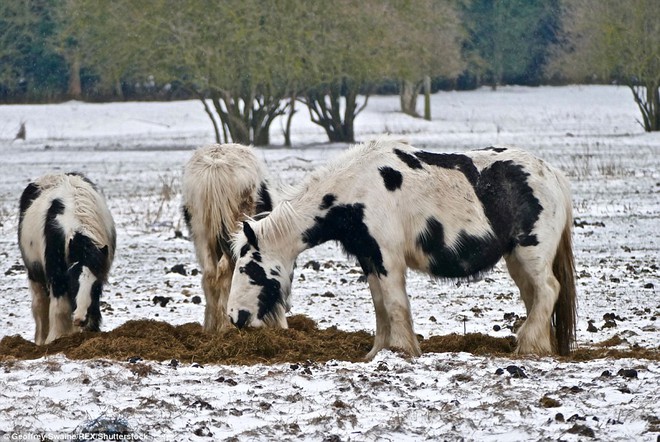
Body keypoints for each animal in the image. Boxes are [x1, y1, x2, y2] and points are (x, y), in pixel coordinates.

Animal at [19, 173, 116, 346]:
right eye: (71, 280)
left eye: (97, 284)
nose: (79, 318)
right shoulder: (57, 278)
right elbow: (59, 309)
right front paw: (55, 339)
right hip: (35, 275)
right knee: (40, 306)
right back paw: (40, 340)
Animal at [180, 143, 282, 334]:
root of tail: (216, 166)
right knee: (226, 271)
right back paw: (226, 326)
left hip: (201, 232)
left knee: (210, 274)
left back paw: (211, 327)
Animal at [224, 140, 576, 360]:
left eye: (248, 267)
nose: (235, 317)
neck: (357, 190)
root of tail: (553, 176)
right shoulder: (369, 258)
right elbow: (380, 306)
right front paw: (378, 351)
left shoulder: (387, 258)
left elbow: (394, 304)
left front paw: (403, 350)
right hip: (517, 259)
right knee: (536, 297)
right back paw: (540, 346)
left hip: (531, 253)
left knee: (548, 290)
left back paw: (528, 347)